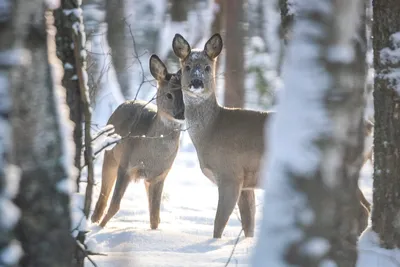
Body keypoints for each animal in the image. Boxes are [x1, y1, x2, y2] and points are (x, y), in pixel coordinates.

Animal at [91, 55, 184, 230]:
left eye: (187, 93)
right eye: (169, 95)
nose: (182, 113)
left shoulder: (160, 175)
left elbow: (154, 216)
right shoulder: (126, 165)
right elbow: (115, 205)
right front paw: (100, 229)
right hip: (110, 155)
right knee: (104, 196)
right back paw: (94, 221)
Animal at [173, 32, 376, 240]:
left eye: (207, 67)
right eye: (187, 67)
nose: (196, 83)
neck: (212, 130)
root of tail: (369, 127)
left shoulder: (231, 173)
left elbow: (219, 223)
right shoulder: (247, 183)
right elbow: (249, 224)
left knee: (361, 209)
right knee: (366, 205)